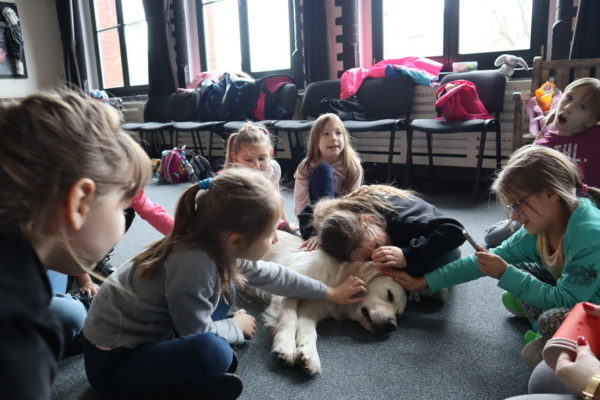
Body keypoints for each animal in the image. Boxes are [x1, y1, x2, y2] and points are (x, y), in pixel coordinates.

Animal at [261, 231, 407, 375]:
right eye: (390, 295)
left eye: (398, 314)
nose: (392, 325)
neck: (335, 282)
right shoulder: (289, 282)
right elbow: (289, 318)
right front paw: (286, 347)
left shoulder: (310, 309)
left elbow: (309, 331)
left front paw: (309, 355)